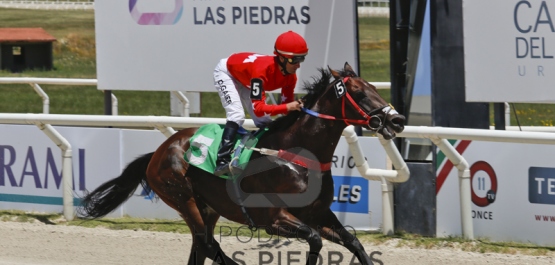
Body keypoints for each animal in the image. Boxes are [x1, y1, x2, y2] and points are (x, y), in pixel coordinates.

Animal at [78, 62, 406, 264]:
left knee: (201, 247)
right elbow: (314, 241)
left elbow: (354, 242)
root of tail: (158, 151)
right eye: (359, 93)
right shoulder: (274, 219)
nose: (397, 120)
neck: (298, 157)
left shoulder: (318, 214)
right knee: (209, 245)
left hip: (208, 208)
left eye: (374, 86)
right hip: (182, 198)